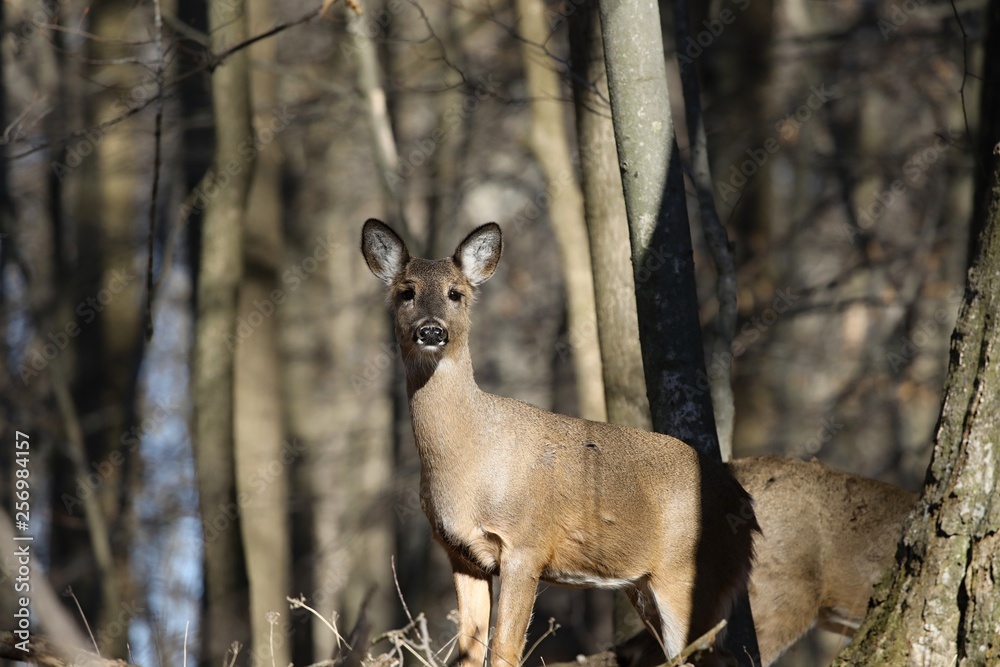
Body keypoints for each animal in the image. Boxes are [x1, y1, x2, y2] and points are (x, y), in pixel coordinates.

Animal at [364, 222, 760, 667]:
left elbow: (504, 651)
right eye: (406, 291)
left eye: (456, 293)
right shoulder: (462, 554)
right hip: (646, 585)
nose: (431, 330)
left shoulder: (525, 543)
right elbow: (469, 651)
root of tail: (745, 504)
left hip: (689, 575)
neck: (468, 461)